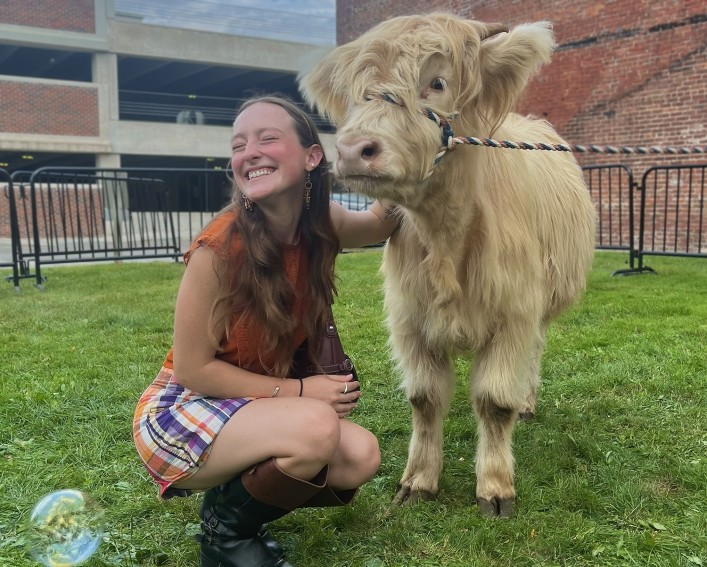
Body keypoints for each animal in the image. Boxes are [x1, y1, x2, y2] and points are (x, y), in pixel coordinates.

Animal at [299, 13, 596, 517]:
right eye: (360, 92)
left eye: (436, 83)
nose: (355, 149)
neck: (446, 239)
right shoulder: (409, 321)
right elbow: (424, 400)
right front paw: (419, 480)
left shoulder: (514, 315)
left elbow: (495, 402)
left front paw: (495, 487)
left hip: (539, 310)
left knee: (534, 353)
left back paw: (528, 401)